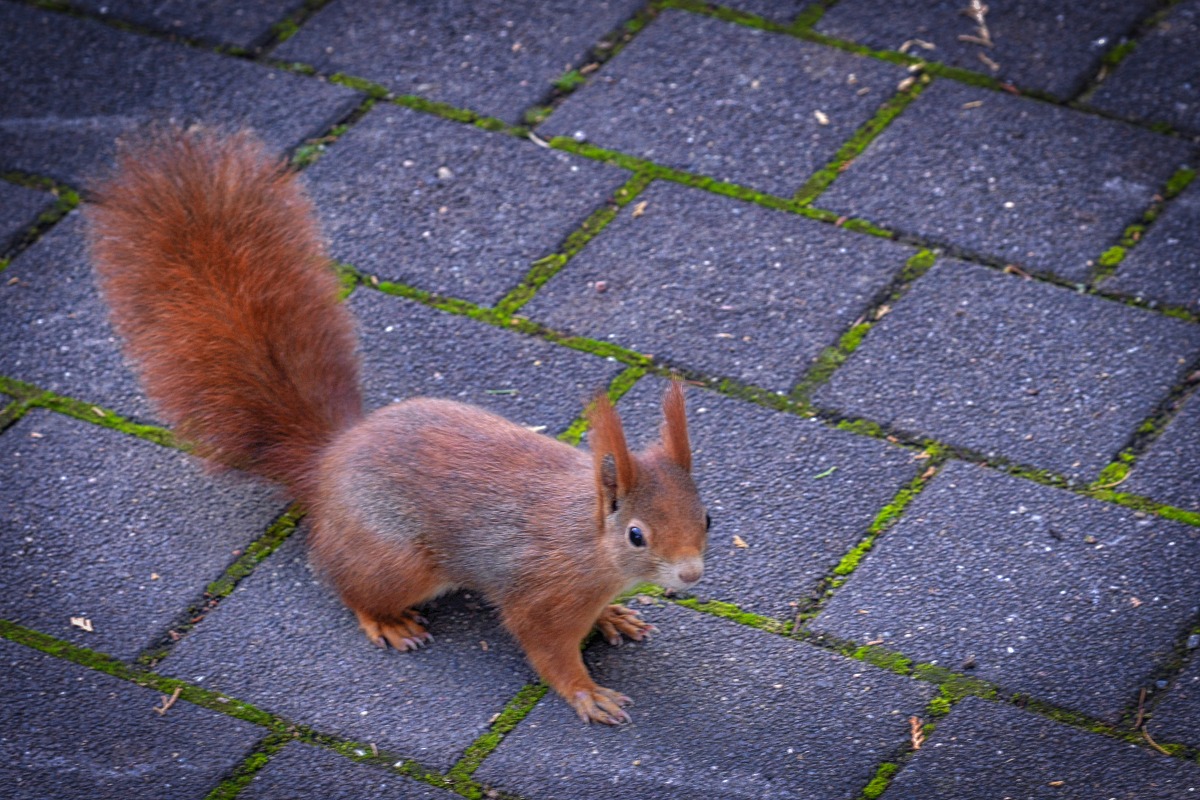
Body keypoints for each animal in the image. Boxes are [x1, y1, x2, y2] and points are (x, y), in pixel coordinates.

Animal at [86, 129, 710, 725]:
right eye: (636, 535)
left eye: (707, 517)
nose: (691, 575)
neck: (588, 542)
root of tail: (327, 462)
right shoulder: (542, 595)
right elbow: (547, 650)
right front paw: (587, 692)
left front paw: (614, 616)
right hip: (396, 560)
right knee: (349, 586)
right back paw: (386, 621)